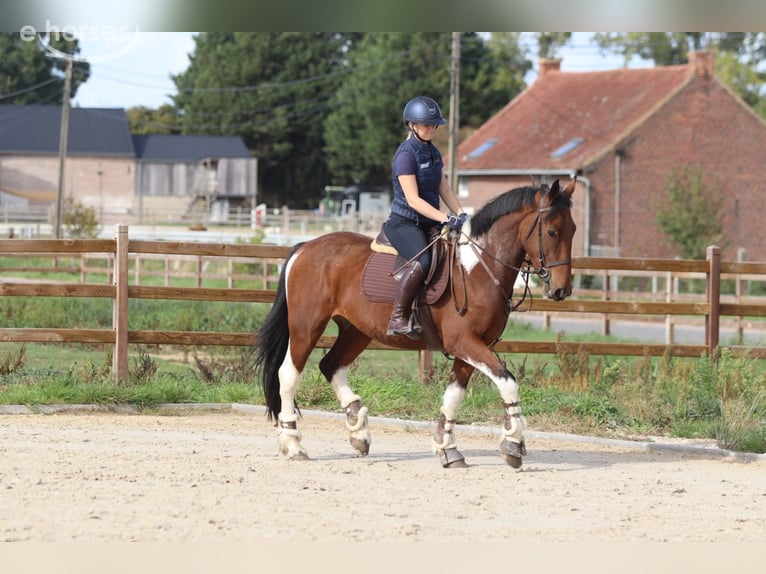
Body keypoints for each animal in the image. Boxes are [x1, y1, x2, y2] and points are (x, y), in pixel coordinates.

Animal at [254, 178, 577, 469]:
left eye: (573, 230)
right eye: (551, 231)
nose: (561, 290)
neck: (477, 268)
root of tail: (304, 247)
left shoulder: (473, 347)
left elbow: (454, 396)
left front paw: (448, 449)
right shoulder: (465, 342)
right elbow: (508, 382)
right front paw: (512, 444)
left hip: (356, 331)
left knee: (330, 366)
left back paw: (358, 431)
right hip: (306, 327)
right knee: (288, 375)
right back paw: (293, 445)